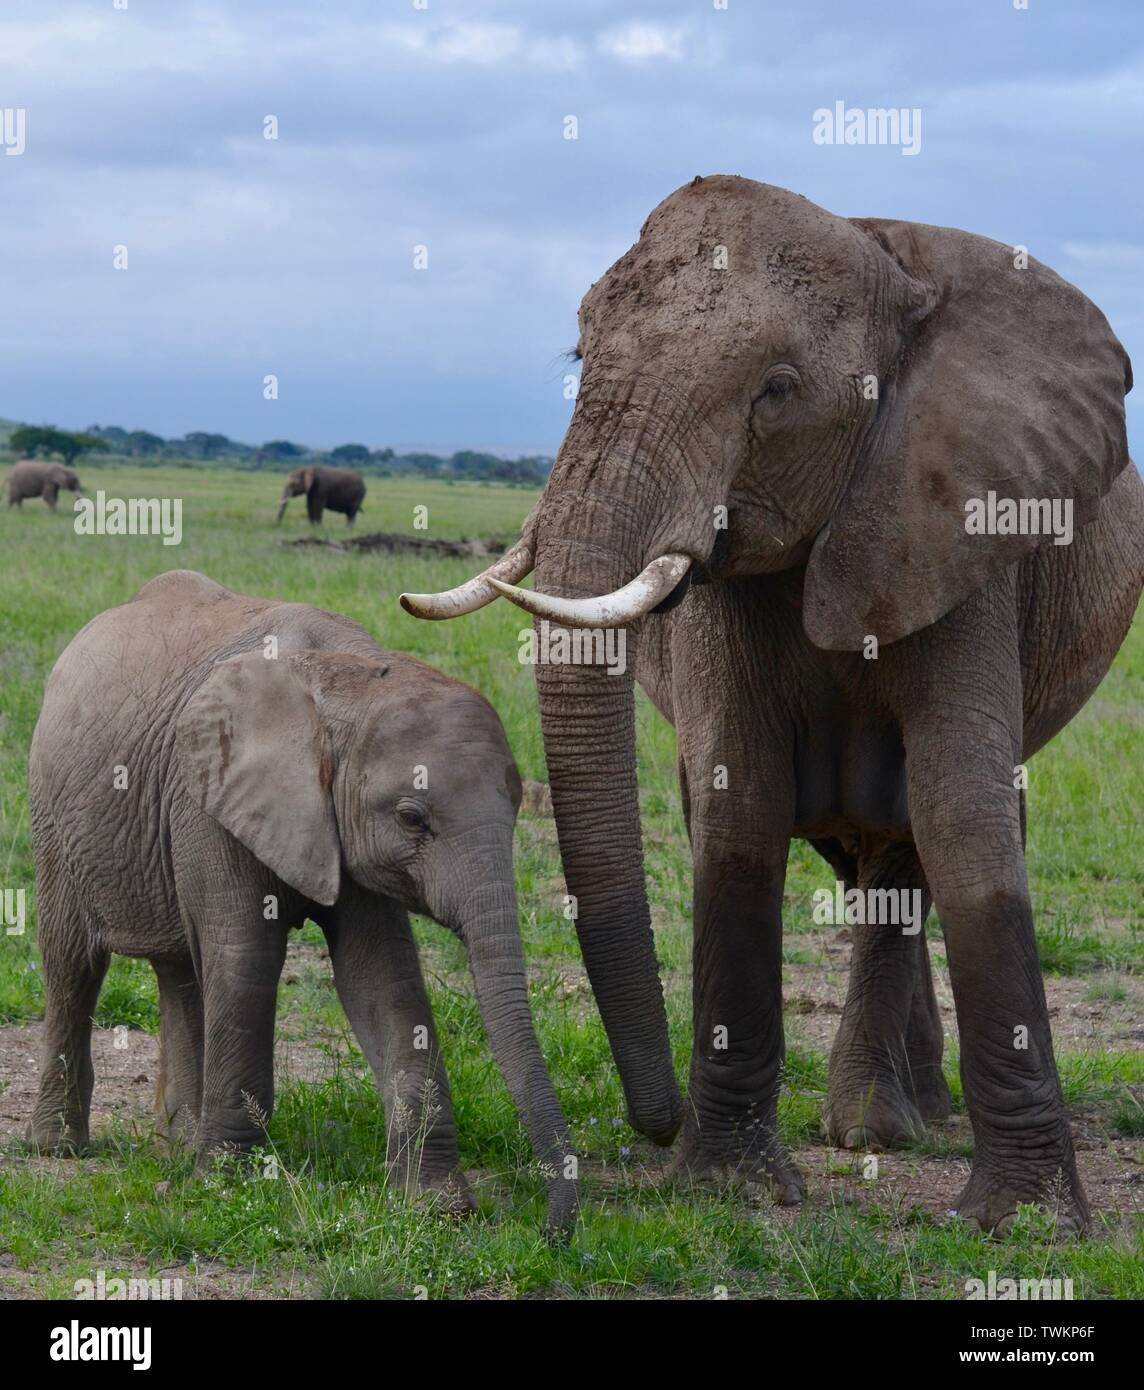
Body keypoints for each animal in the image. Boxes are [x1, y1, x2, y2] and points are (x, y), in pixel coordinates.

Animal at [26, 569, 581, 1234]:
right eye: (412, 818)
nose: (550, 1231)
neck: (345, 679)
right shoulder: (210, 797)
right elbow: (245, 961)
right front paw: (227, 1185)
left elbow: (382, 976)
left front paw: (437, 1208)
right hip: (54, 815)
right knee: (73, 963)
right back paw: (59, 1148)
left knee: (178, 969)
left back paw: (177, 1146)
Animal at [405, 176, 1144, 1239]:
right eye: (580, 359)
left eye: (777, 391)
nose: (656, 1122)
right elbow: (737, 806)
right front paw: (732, 1190)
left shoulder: (962, 524)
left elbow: (962, 813)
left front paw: (1026, 1224)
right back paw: (898, 1115)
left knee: (910, 842)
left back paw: (884, 1126)